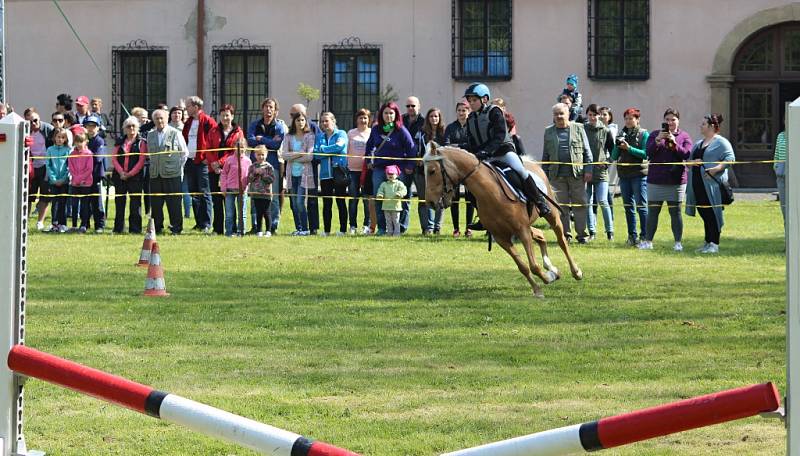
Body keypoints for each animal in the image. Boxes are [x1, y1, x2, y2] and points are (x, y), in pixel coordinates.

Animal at [422, 143, 584, 300]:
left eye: (432, 171)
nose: (430, 202)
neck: (492, 194)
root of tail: (532, 163)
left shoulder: (522, 231)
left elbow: (533, 265)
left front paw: (548, 279)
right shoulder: (502, 238)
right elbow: (523, 266)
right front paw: (542, 285)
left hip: (551, 215)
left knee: (561, 241)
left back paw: (576, 272)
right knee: (540, 235)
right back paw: (552, 268)